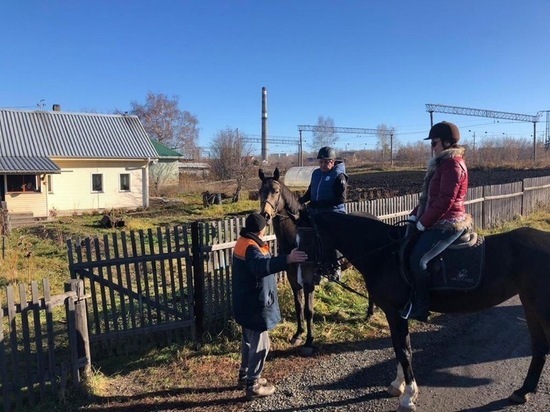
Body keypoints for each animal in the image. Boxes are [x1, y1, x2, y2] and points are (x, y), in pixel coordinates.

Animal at [260, 168, 376, 354]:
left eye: (276, 191)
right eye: (260, 192)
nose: (265, 215)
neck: (297, 236)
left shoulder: (309, 280)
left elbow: (308, 310)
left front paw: (309, 340)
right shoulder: (293, 278)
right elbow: (298, 306)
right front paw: (298, 334)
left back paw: (370, 313)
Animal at [312, 211, 548, 412]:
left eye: (305, 234)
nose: (316, 275)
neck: (384, 253)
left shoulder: (395, 312)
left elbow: (403, 350)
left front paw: (408, 397)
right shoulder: (396, 314)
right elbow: (401, 347)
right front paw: (398, 385)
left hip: (539, 305)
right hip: (530, 303)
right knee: (539, 347)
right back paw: (523, 391)